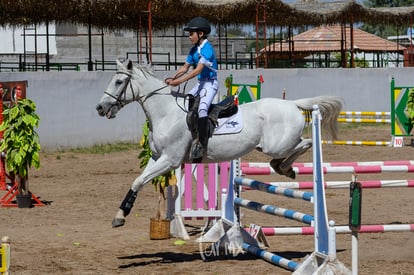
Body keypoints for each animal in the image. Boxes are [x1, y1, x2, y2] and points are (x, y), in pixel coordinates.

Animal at [97, 59, 342, 229]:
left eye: (119, 82)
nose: (100, 108)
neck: (166, 112)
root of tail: (291, 104)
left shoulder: (170, 160)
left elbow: (140, 181)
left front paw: (120, 216)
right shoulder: (158, 158)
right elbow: (137, 181)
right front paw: (119, 215)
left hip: (278, 144)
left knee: (306, 142)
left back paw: (284, 167)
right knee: (299, 146)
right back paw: (283, 167)